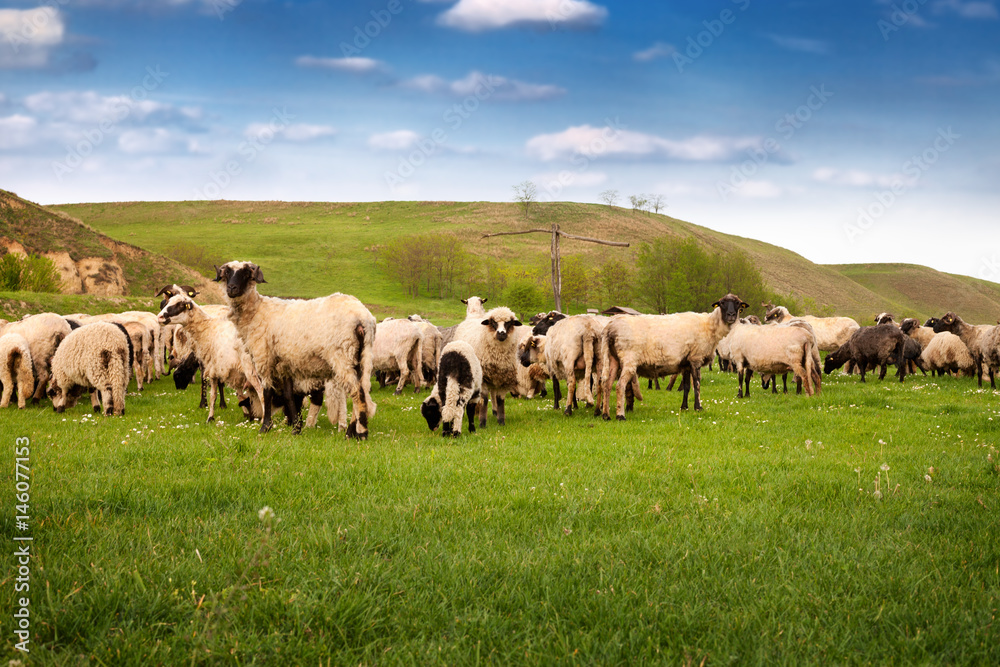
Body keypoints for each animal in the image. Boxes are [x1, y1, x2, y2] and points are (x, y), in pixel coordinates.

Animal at [216, 260, 378, 438]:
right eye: (227, 273)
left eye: (246, 274)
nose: (231, 288)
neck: (257, 311)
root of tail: (363, 318)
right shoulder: (284, 364)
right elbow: (288, 396)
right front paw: (296, 428)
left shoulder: (263, 357)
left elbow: (267, 393)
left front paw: (265, 427)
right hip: (361, 356)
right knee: (362, 390)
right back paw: (352, 431)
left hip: (343, 354)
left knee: (357, 391)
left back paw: (360, 433)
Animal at [596, 294, 748, 420]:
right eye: (722, 303)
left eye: (738, 303)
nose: (731, 315)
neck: (710, 325)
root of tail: (610, 328)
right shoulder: (695, 358)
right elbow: (697, 384)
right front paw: (698, 407)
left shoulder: (686, 362)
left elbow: (686, 386)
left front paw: (684, 407)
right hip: (628, 359)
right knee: (619, 386)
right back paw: (620, 415)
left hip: (613, 358)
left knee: (607, 384)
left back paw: (606, 415)